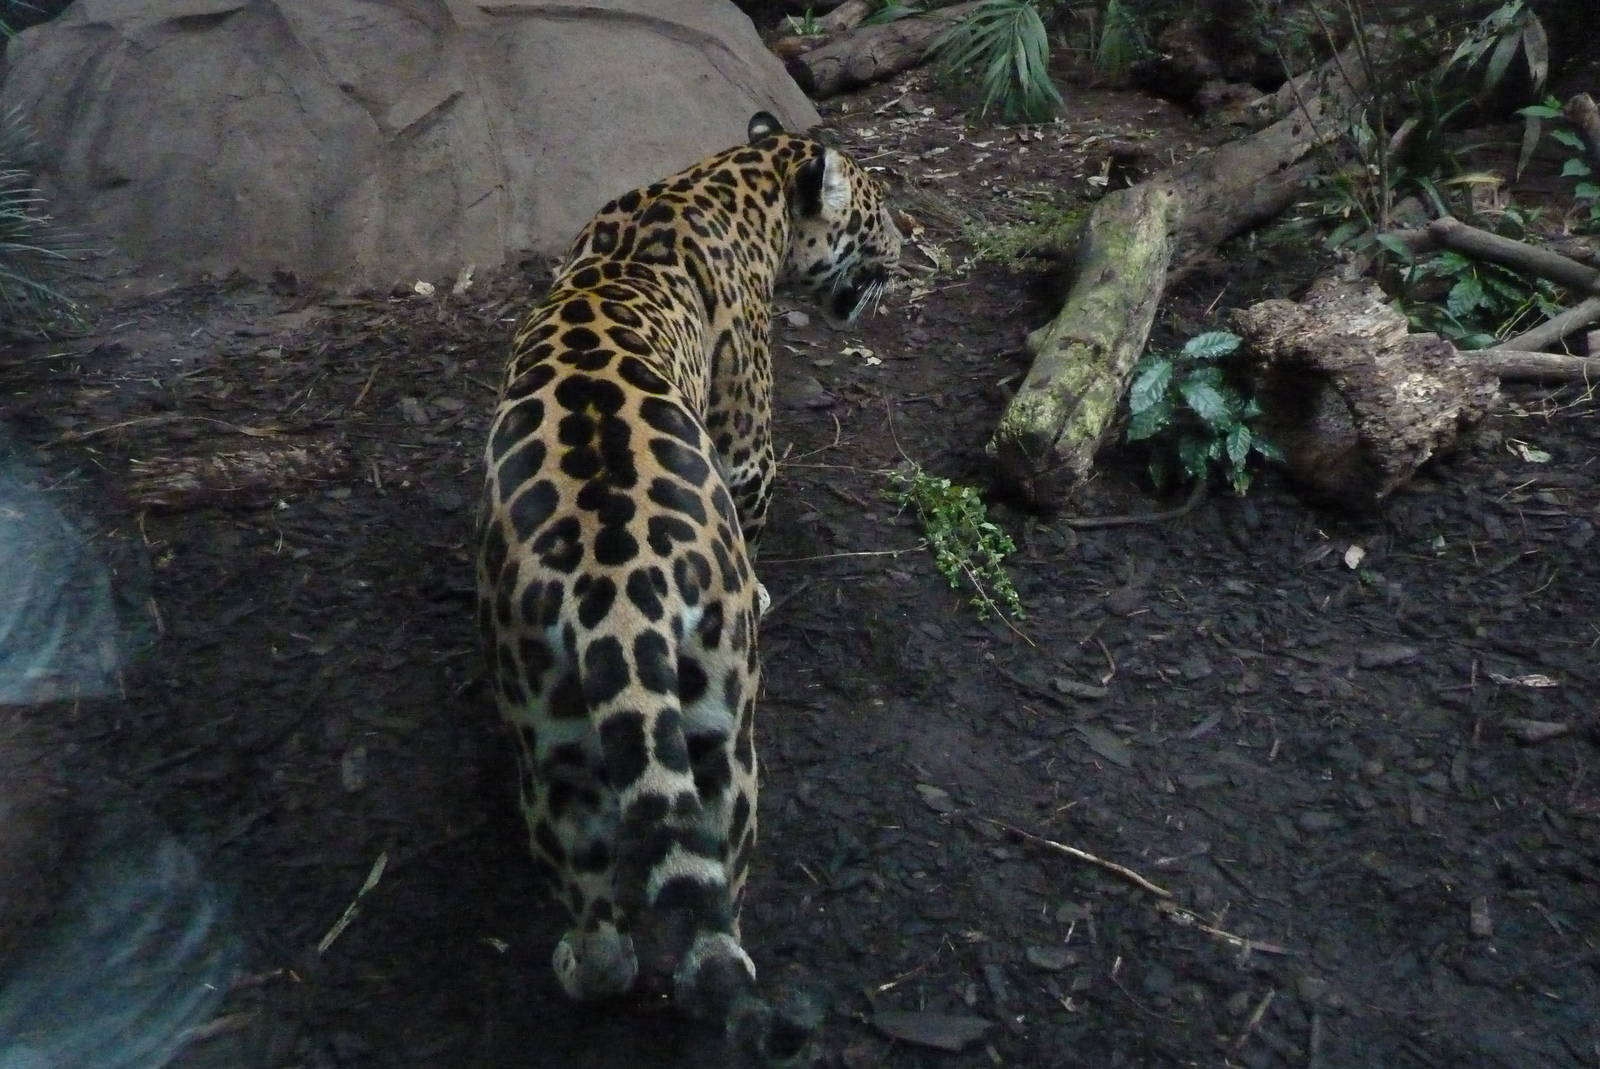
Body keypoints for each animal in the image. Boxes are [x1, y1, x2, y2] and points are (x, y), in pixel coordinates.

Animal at [476, 111, 900, 1063]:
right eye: (877, 214)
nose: (910, 247)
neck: (732, 178)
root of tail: (615, 591)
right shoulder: (745, 441)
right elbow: (755, 505)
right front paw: (768, 587)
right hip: (722, 727)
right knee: (716, 899)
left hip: (549, 732)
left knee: (601, 910)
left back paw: (581, 967)